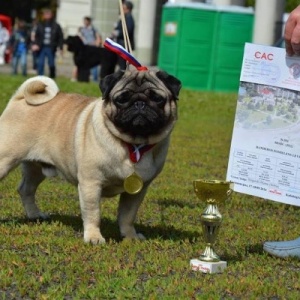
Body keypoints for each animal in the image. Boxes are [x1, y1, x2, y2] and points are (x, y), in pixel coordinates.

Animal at [0, 69, 180, 243]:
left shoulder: (136, 191)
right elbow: (93, 213)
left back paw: (34, 215)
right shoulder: (91, 184)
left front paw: (130, 236)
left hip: (36, 168)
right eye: (122, 99)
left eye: (157, 98)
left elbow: (127, 216)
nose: (139, 103)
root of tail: (20, 98)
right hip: (6, 160)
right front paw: (94, 237)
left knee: (26, 189)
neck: (132, 142)